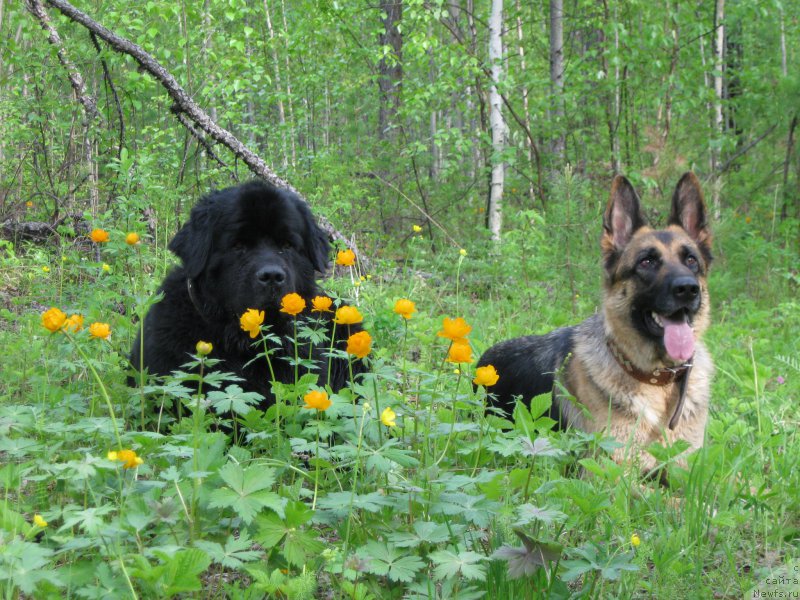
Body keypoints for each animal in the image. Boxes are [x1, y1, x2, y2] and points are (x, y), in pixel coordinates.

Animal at [478, 173, 716, 474]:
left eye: (691, 260)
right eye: (647, 262)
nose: (688, 289)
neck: (657, 382)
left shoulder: (687, 469)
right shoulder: (611, 470)